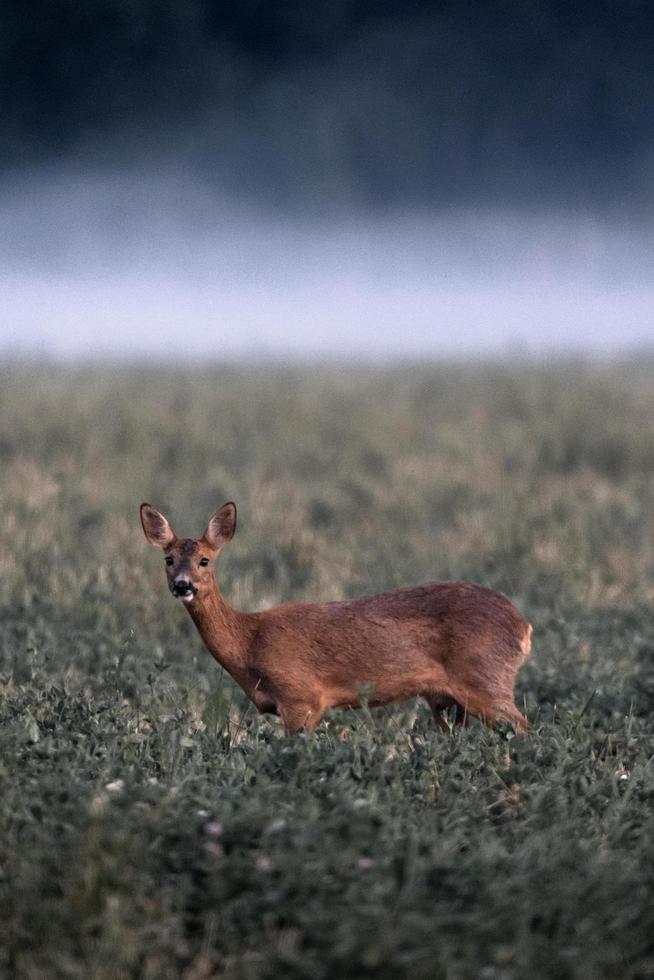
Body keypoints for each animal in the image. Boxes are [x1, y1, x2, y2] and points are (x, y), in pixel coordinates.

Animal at [140, 502, 532, 732]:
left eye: (205, 560)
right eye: (168, 559)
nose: (182, 585)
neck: (249, 642)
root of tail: (522, 626)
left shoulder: (301, 698)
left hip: (485, 678)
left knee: (522, 726)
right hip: (448, 700)